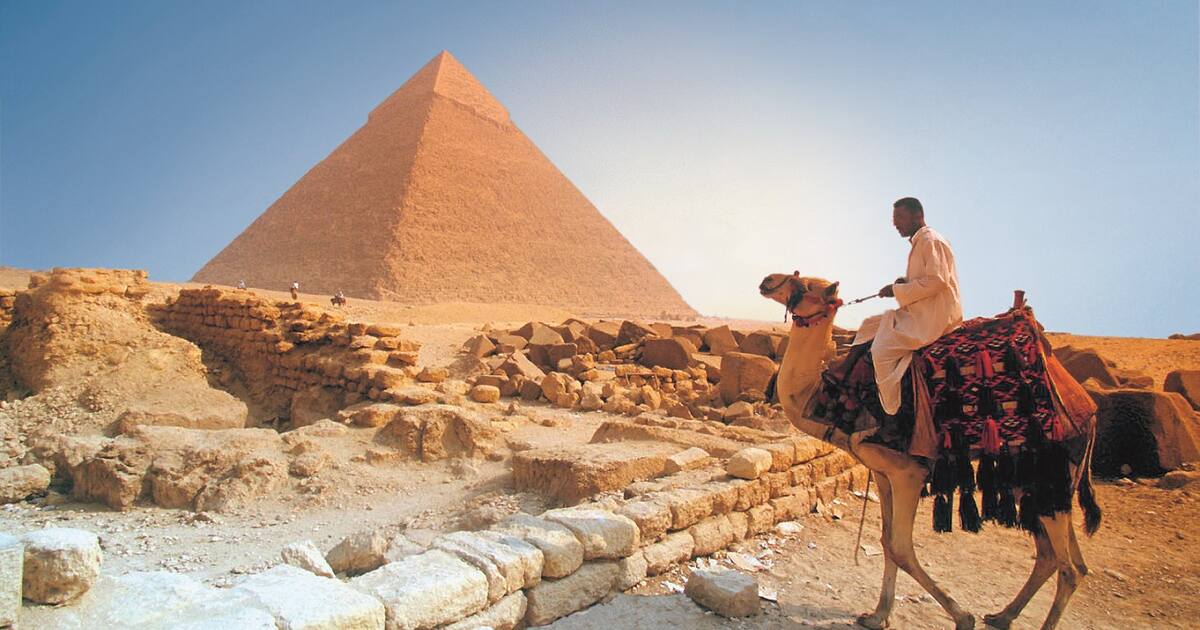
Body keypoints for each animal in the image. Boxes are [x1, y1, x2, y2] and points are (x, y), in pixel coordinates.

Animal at [758, 272, 1100, 630]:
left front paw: (962, 617)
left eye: (807, 285)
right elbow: (886, 541)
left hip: (1048, 467)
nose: (768, 280)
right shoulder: (882, 472)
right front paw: (877, 615)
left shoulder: (909, 471)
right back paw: (1002, 614)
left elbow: (901, 548)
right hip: (1039, 480)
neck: (830, 397)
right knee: (1058, 558)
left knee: (1067, 566)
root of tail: (1087, 406)